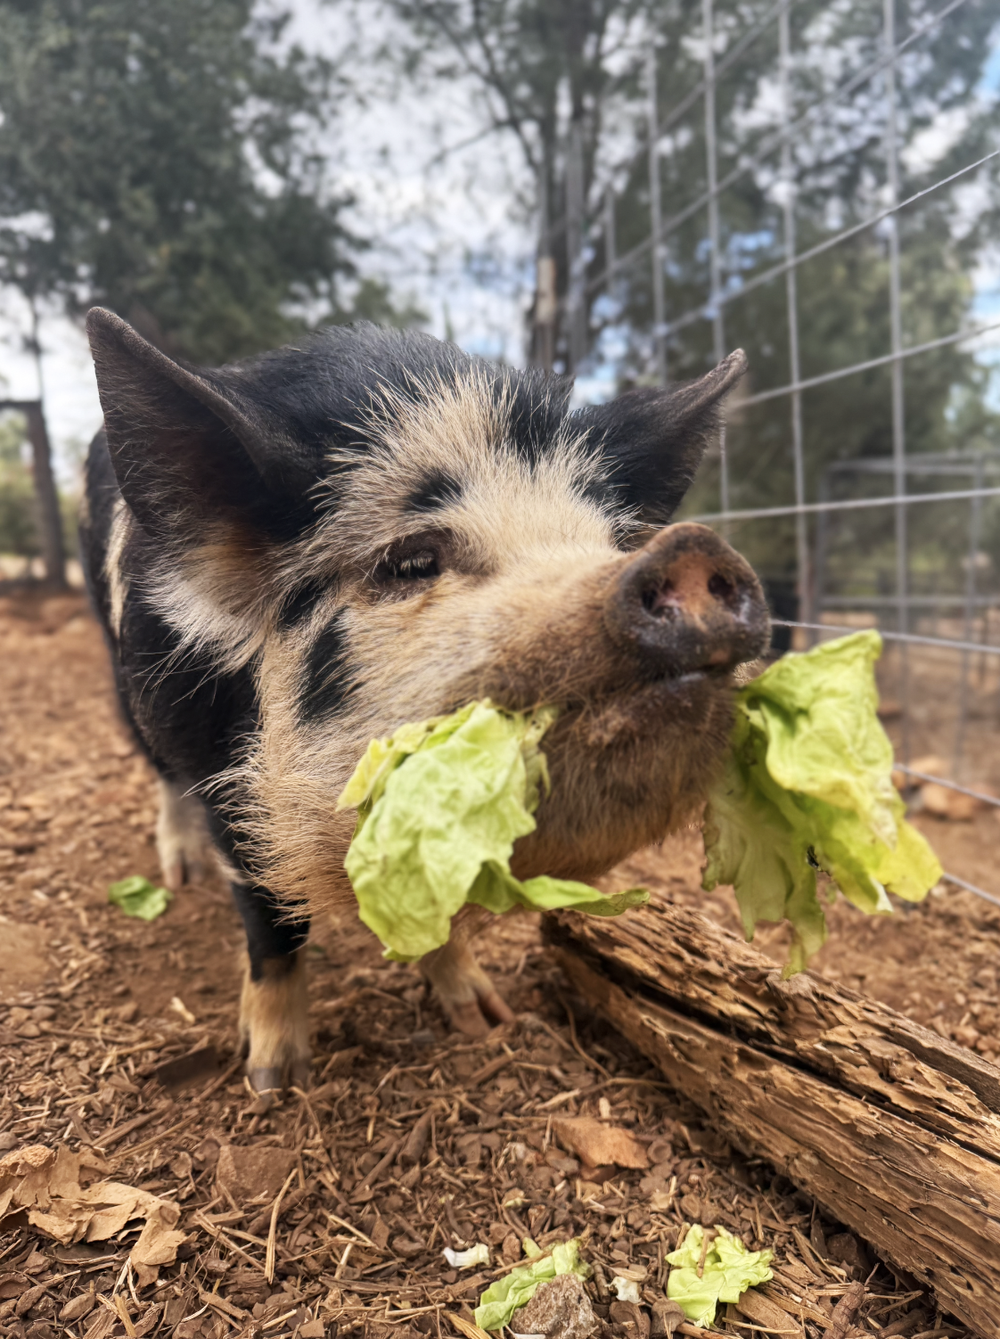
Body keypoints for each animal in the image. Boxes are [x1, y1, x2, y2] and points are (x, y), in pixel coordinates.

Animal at [80, 308, 769, 1096]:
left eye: (610, 543)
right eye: (410, 561)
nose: (691, 551)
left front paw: (488, 1020)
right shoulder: (218, 768)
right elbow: (270, 918)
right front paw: (274, 1081)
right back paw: (180, 875)